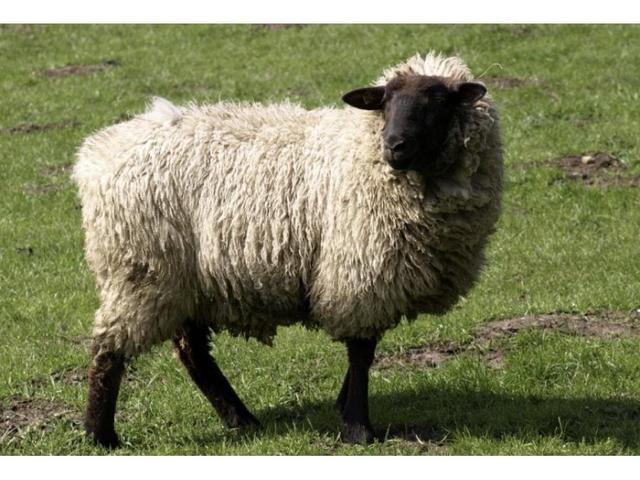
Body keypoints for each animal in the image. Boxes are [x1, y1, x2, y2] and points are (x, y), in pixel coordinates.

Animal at [73, 51, 503, 448]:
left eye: (439, 100)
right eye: (385, 101)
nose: (394, 146)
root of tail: (98, 153)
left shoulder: (372, 278)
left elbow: (365, 351)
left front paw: (343, 406)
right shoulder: (357, 271)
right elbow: (361, 352)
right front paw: (357, 427)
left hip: (182, 279)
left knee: (192, 353)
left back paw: (240, 419)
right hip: (140, 271)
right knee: (109, 349)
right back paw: (101, 435)